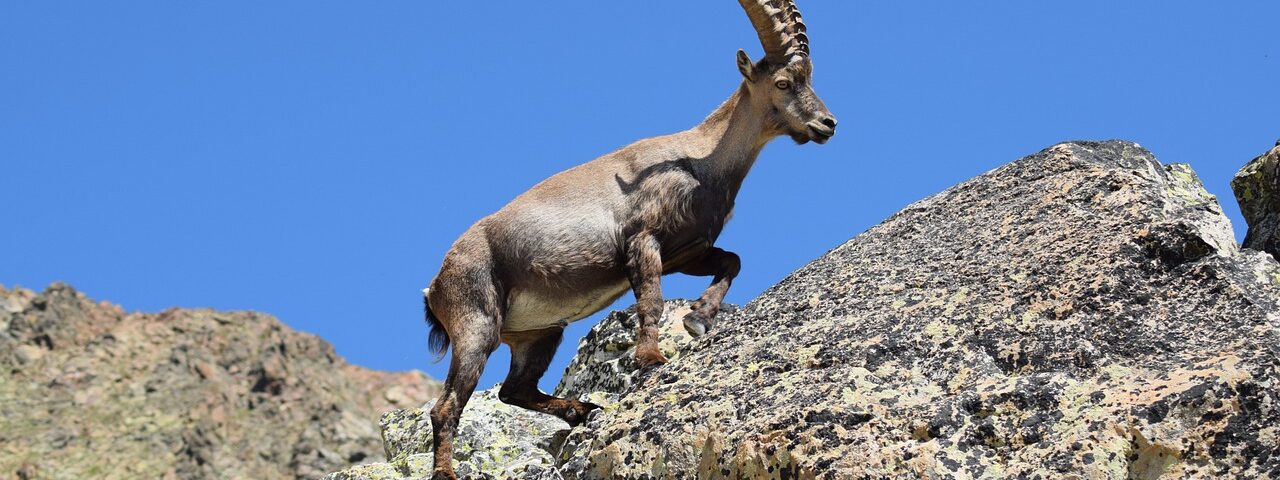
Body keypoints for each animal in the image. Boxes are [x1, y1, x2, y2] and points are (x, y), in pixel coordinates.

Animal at [424, 0, 834, 478]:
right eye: (784, 82)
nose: (828, 123)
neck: (702, 162)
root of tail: (434, 286)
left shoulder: (687, 250)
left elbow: (731, 261)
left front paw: (699, 318)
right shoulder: (643, 241)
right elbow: (651, 300)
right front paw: (651, 358)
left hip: (538, 333)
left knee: (515, 389)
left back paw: (582, 410)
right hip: (476, 323)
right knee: (446, 407)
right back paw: (448, 469)